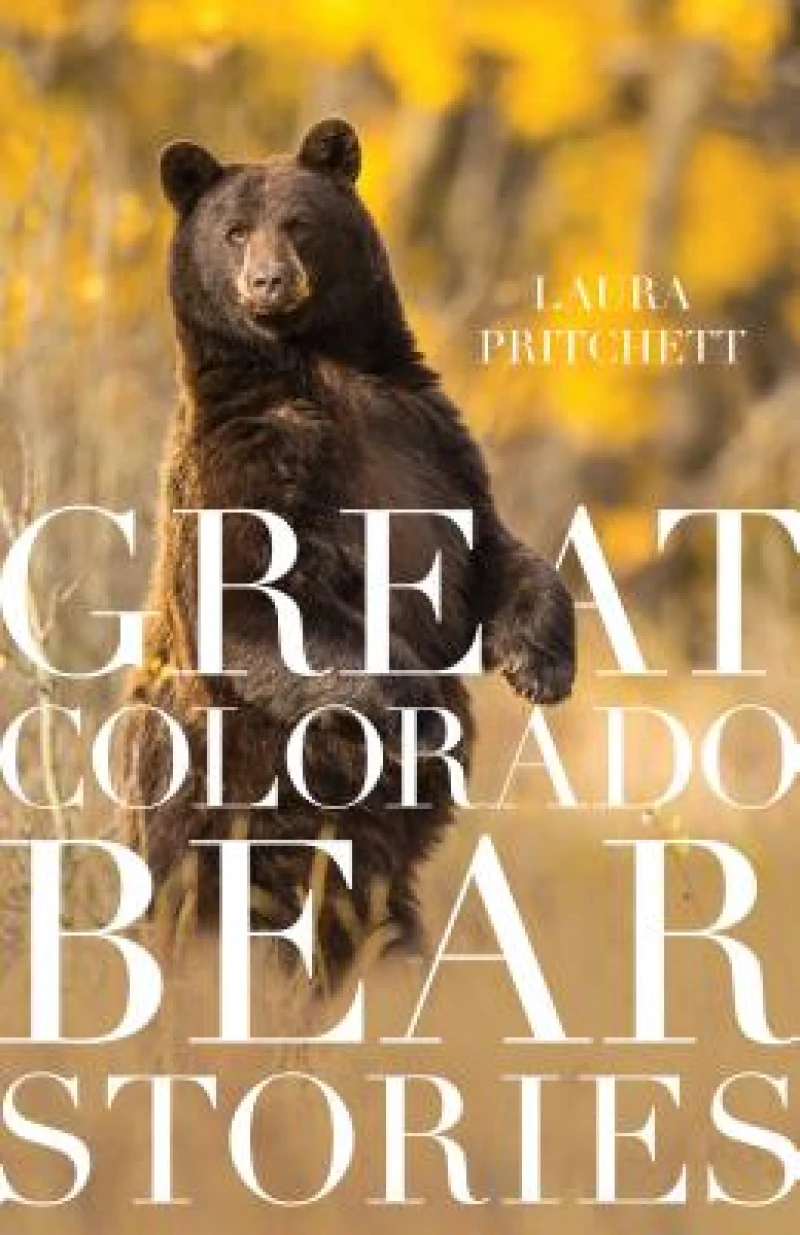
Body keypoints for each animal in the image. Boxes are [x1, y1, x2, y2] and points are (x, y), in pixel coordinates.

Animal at [119, 117, 575, 987]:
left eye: (299, 222)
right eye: (234, 231)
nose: (268, 281)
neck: (312, 368)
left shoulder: (427, 448)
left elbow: (495, 560)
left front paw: (542, 664)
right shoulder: (247, 467)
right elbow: (254, 613)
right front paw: (423, 713)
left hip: (367, 888)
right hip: (225, 839)